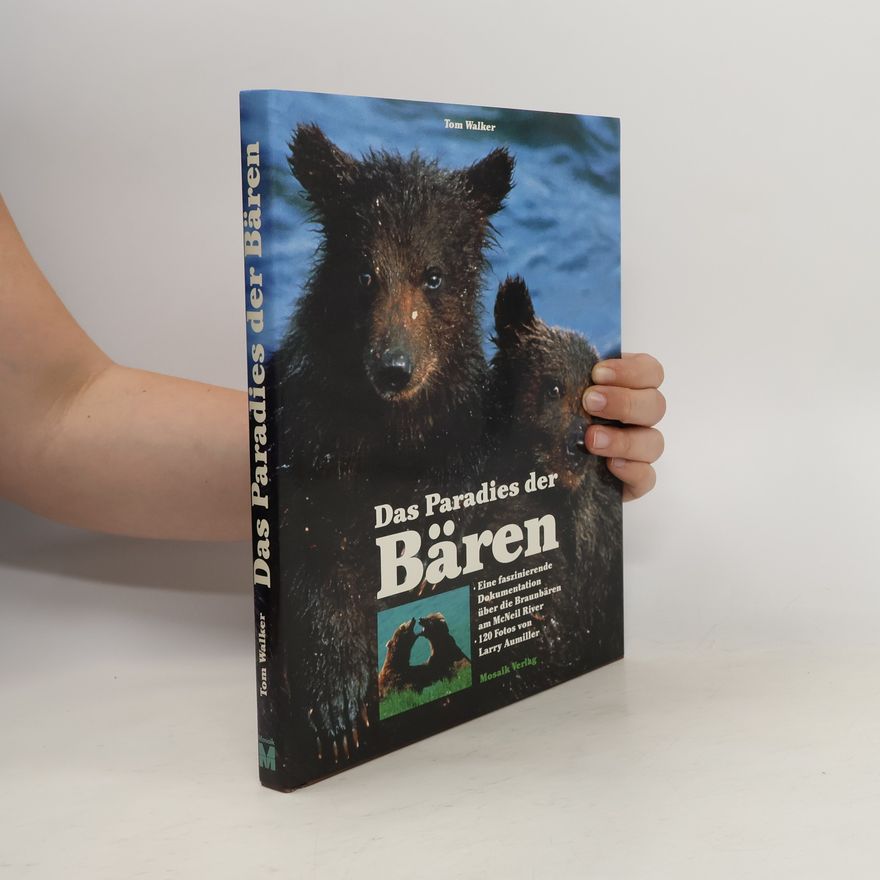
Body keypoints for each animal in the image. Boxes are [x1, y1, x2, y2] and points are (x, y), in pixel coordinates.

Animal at [271, 124, 515, 771]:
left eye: (432, 275)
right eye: (364, 273)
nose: (394, 367)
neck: (391, 430)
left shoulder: (460, 453)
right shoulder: (313, 442)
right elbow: (312, 557)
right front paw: (337, 700)